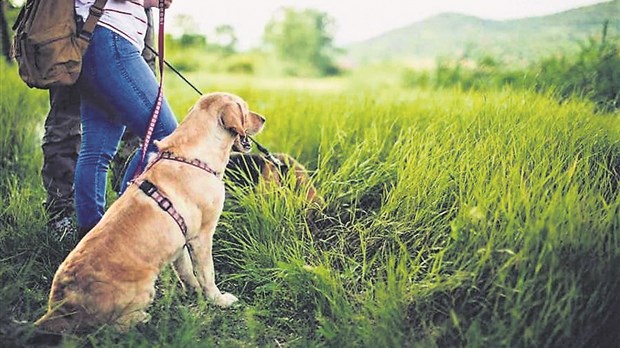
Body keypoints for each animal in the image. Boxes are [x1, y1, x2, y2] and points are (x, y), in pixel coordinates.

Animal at [35, 92, 266, 332]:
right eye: (245, 109)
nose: (264, 119)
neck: (193, 157)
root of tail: (61, 306)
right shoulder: (202, 237)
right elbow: (207, 274)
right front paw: (219, 300)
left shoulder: (180, 243)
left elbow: (186, 272)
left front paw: (193, 292)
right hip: (143, 290)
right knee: (112, 327)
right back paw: (143, 318)